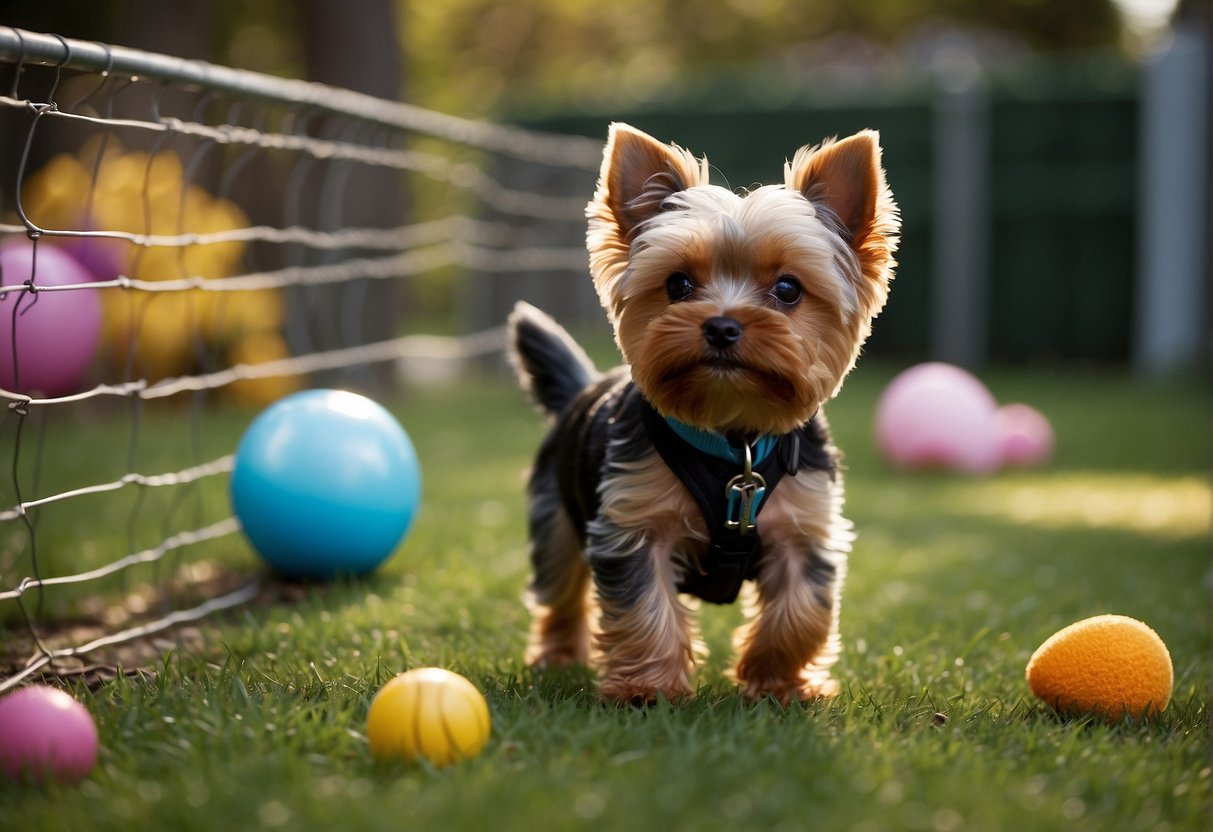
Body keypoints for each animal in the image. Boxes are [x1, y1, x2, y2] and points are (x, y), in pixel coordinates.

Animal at [507, 122, 897, 703]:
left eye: (788, 288)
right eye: (678, 285)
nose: (721, 325)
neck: (734, 438)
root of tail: (583, 386)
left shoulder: (806, 528)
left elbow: (800, 611)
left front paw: (782, 685)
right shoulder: (633, 524)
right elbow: (645, 608)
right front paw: (646, 690)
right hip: (554, 511)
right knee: (558, 587)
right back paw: (556, 657)